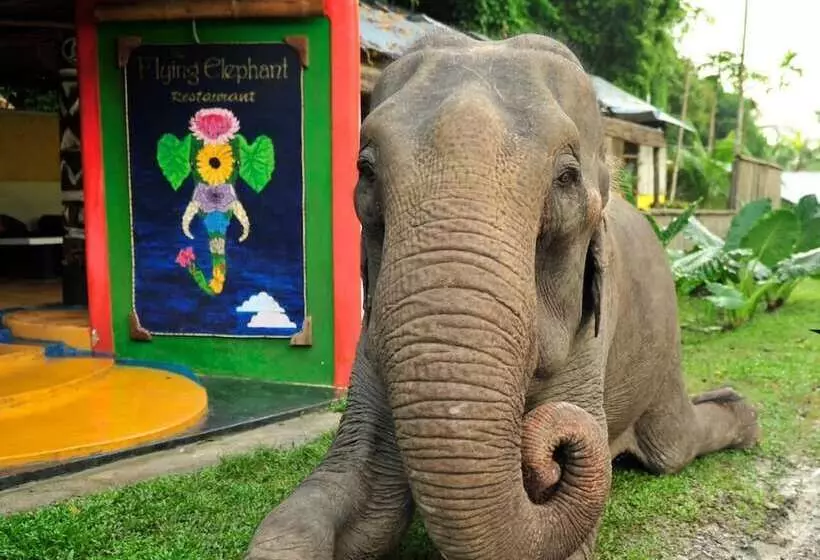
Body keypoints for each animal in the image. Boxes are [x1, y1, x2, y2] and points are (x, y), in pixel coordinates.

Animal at [245, 31, 760, 560]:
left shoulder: (590, 335)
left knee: (671, 447)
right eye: (365, 169)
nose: (551, 450)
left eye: (566, 177)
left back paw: (744, 416)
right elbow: (348, 503)